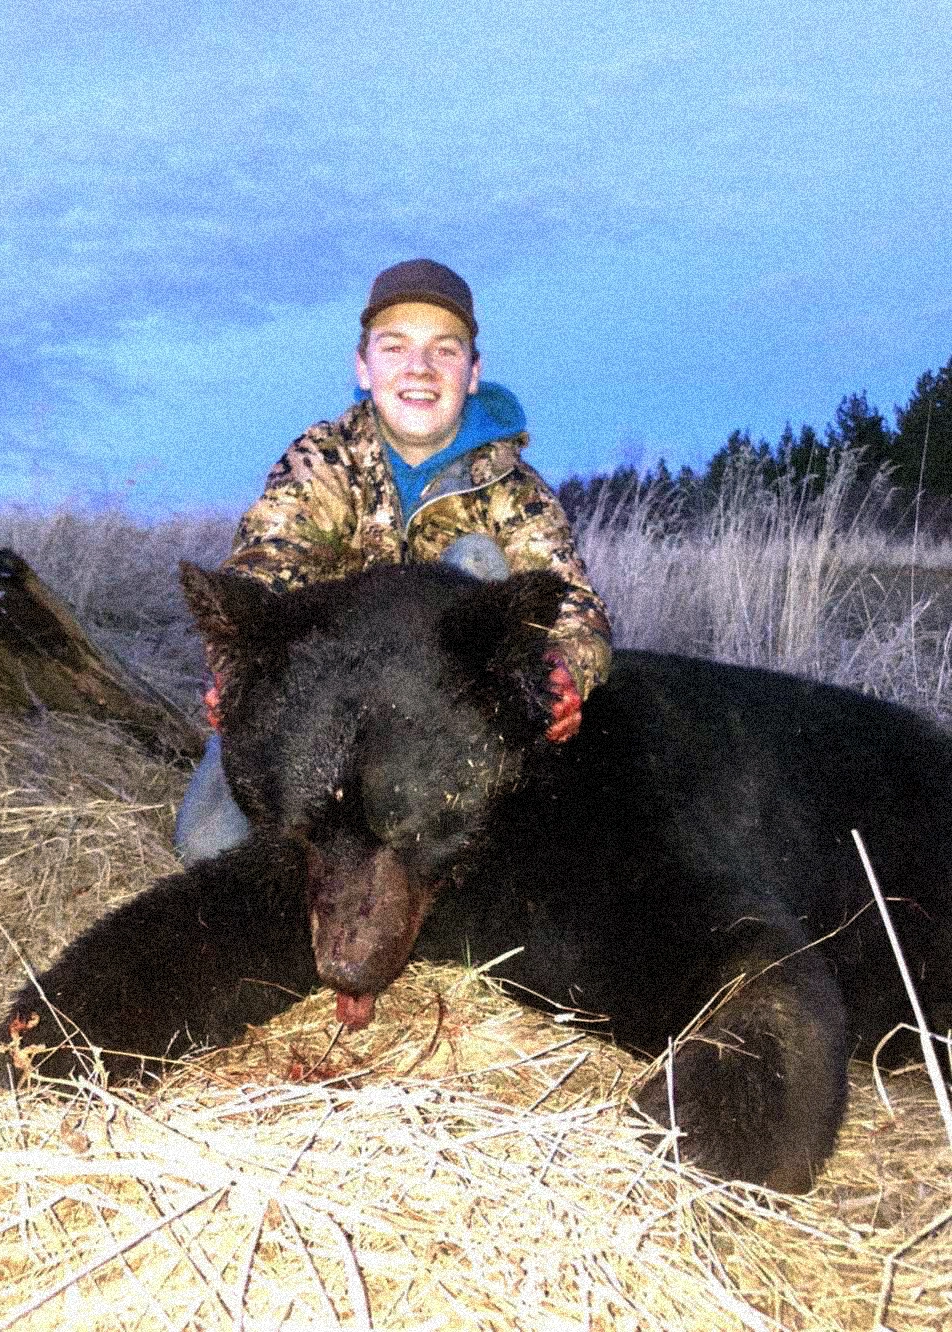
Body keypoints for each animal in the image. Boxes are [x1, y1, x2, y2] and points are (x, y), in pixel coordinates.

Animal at [5, 561, 952, 1194]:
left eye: (415, 822)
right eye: (300, 816)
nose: (345, 969)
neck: (491, 855)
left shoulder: (633, 831)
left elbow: (764, 962)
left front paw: (714, 1130)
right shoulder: (321, 885)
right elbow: (191, 926)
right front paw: (39, 1034)